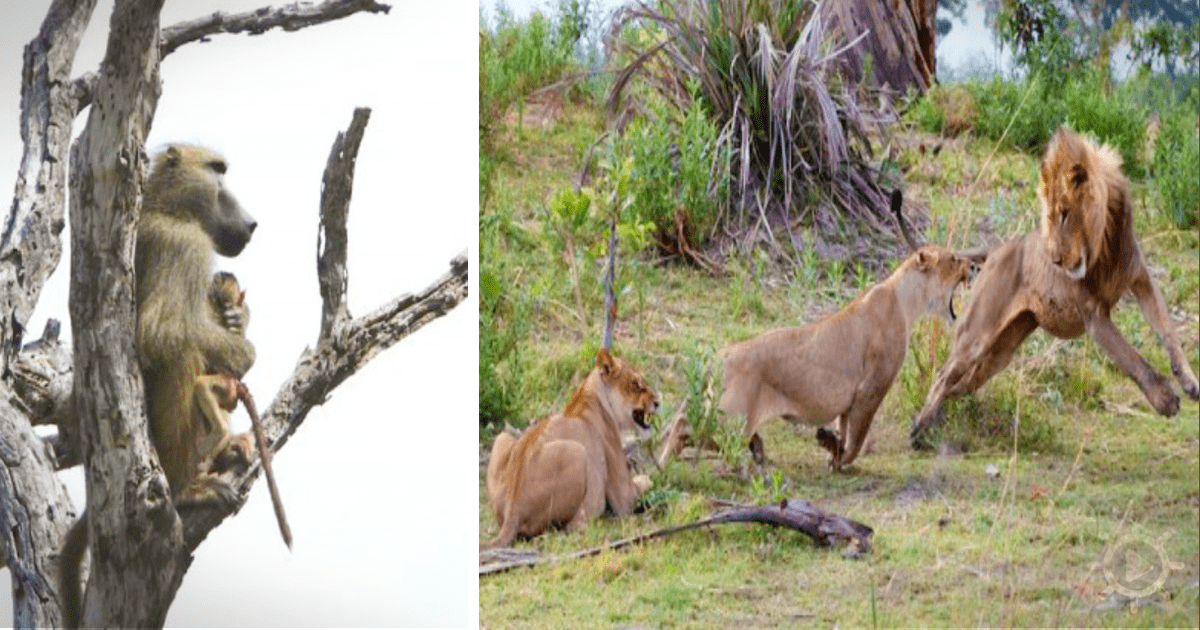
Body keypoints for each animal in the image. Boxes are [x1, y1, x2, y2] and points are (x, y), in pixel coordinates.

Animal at [61, 145, 258, 628]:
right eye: (218, 171)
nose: (250, 224)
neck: (169, 207)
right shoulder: (183, 245)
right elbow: (159, 333)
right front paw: (245, 351)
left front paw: (236, 319)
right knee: (181, 357)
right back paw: (189, 487)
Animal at [484, 349, 659, 548]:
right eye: (636, 384)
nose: (657, 402)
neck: (587, 395)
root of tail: (512, 511)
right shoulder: (623, 495)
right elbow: (643, 484)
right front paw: (646, 478)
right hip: (578, 451)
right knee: (569, 526)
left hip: (503, 437)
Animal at [720, 208, 977, 470]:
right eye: (954, 259)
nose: (975, 265)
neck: (904, 300)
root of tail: (725, 355)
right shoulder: (870, 389)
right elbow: (857, 439)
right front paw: (837, 455)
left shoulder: (849, 401)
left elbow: (845, 431)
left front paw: (832, 448)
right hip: (733, 417)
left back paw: (758, 448)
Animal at [910, 127, 1200, 446]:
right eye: (1048, 215)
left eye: (1065, 213)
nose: (1055, 260)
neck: (1105, 243)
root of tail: (997, 248)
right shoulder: (1094, 316)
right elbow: (1131, 359)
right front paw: (1165, 398)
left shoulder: (1141, 279)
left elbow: (1168, 332)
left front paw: (1189, 382)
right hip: (977, 335)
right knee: (943, 376)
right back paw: (919, 430)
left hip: (998, 355)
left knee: (959, 384)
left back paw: (932, 424)